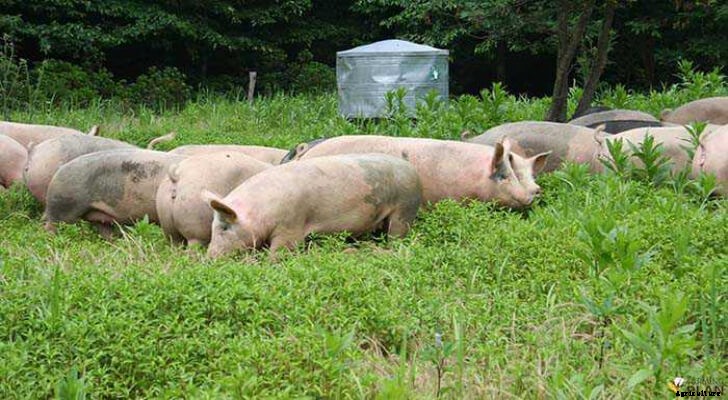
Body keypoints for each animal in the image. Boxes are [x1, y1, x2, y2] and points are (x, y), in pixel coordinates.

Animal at [203, 153, 423, 258]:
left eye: (224, 227)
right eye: (212, 228)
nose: (210, 257)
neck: (261, 211)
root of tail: (411, 169)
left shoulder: (291, 225)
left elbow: (280, 251)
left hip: (405, 208)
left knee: (397, 236)